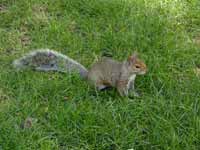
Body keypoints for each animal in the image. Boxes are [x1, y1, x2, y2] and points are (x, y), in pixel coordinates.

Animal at [12, 48, 147, 96]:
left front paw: (136, 95)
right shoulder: (121, 81)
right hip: (97, 82)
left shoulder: (131, 82)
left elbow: (132, 89)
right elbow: (121, 91)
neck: (129, 73)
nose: (146, 70)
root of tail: (87, 75)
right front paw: (127, 100)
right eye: (137, 66)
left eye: (143, 62)